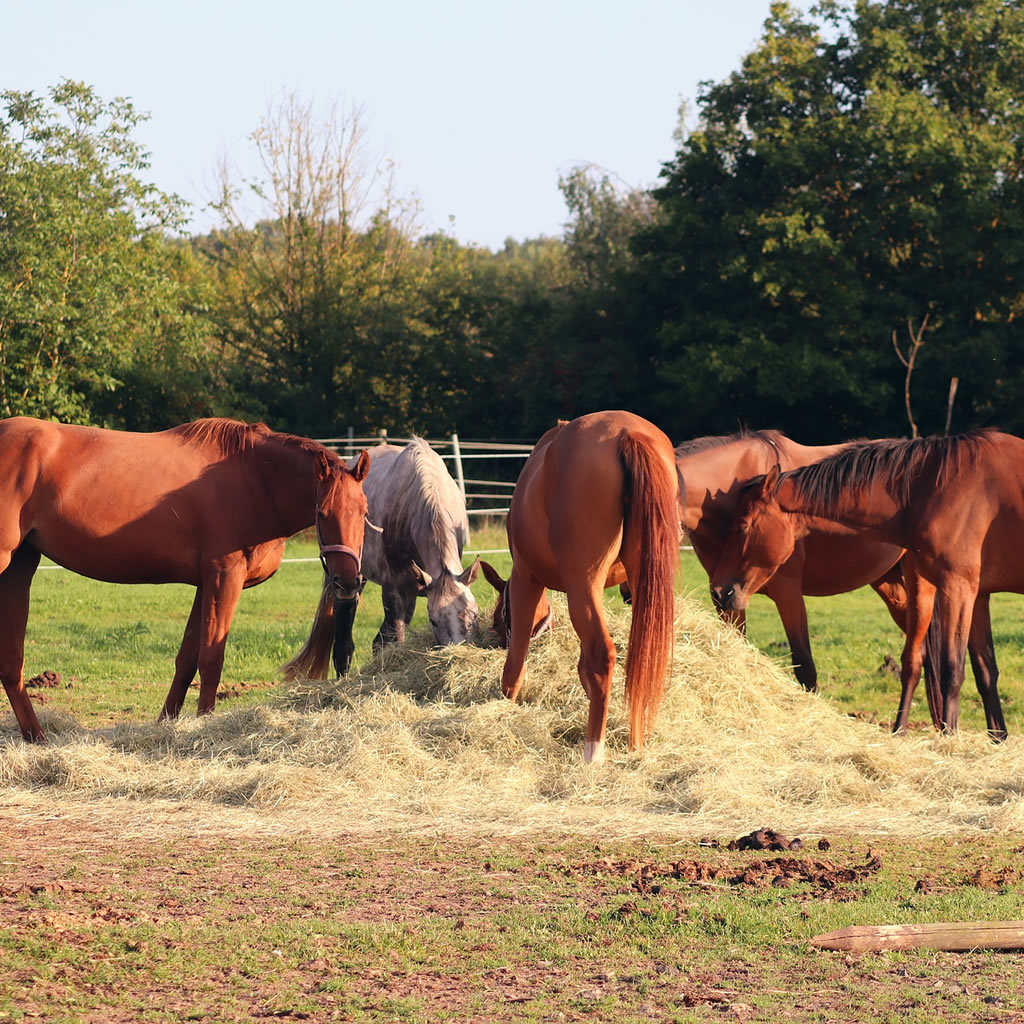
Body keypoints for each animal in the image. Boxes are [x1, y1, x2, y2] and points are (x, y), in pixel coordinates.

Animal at [0, 415, 372, 745]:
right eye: (322, 513)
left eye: (364, 512)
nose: (347, 583)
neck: (253, 476)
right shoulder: (224, 577)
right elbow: (211, 659)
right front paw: (205, 726)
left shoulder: (205, 584)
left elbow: (187, 660)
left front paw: (167, 725)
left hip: (20, 565)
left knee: (12, 662)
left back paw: (36, 737)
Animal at [493, 411, 679, 765]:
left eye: (499, 619)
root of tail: (627, 434)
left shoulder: (526, 579)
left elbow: (515, 665)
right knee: (640, 660)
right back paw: (636, 745)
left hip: (582, 582)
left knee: (601, 654)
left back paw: (594, 751)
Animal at [708, 428, 1019, 741]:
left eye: (742, 527)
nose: (719, 591)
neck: (936, 488)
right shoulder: (977, 595)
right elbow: (985, 671)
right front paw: (997, 738)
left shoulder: (958, 588)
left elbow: (952, 671)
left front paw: (950, 741)